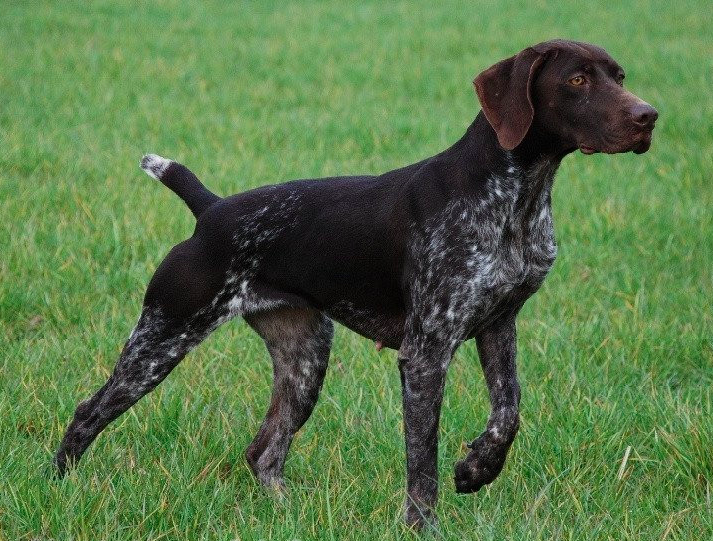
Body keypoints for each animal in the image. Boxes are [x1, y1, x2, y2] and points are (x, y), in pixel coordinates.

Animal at [54, 40, 656, 528]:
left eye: (620, 76)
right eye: (577, 81)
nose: (649, 116)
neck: (516, 198)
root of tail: (212, 211)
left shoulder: (498, 325)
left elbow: (508, 413)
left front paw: (477, 469)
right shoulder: (426, 352)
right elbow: (422, 464)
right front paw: (423, 525)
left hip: (304, 360)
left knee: (264, 452)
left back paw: (289, 513)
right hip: (161, 339)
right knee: (87, 414)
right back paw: (61, 488)